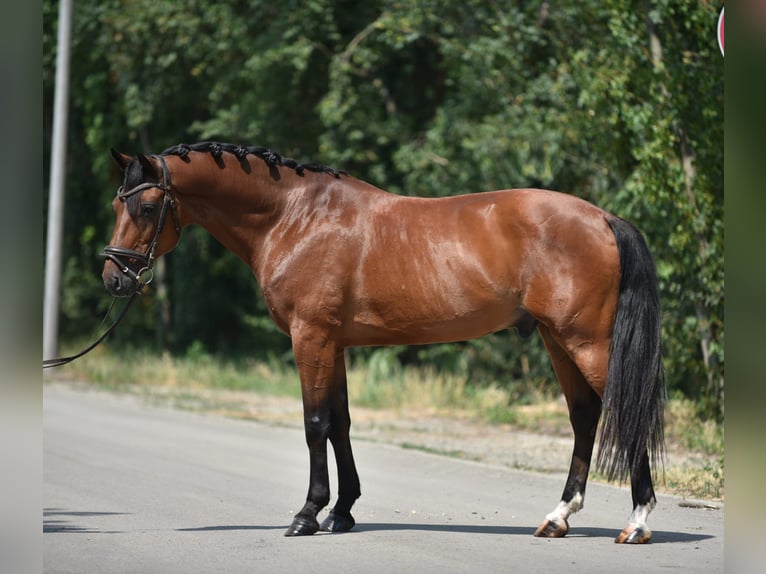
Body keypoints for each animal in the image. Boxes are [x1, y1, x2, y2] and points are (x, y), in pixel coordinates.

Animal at [102, 141, 665, 544]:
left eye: (148, 206)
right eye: (116, 204)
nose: (114, 279)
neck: (294, 217)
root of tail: (603, 218)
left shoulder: (311, 337)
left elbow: (314, 423)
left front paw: (308, 514)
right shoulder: (335, 344)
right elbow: (341, 423)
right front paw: (343, 511)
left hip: (585, 341)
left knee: (626, 410)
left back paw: (637, 523)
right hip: (557, 340)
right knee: (584, 417)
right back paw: (558, 517)